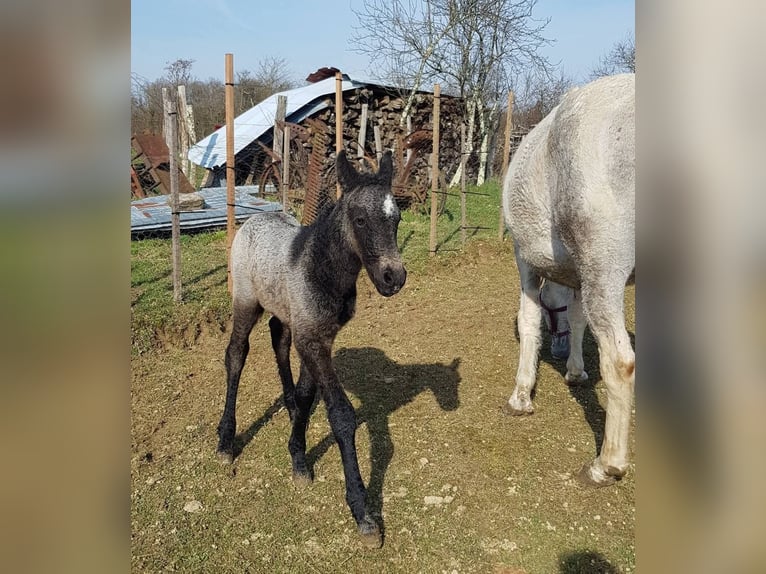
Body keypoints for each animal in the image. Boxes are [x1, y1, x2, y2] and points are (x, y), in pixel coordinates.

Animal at [217, 150, 406, 548]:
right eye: (360, 220)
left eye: (396, 218)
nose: (393, 278)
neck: (322, 268)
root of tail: (254, 217)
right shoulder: (313, 342)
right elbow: (342, 414)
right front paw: (363, 513)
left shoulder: (318, 337)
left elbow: (307, 395)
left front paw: (298, 457)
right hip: (245, 301)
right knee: (236, 354)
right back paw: (225, 441)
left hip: (284, 313)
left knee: (278, 338)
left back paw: (287, 407)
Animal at [502, 73, 635, 486]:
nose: (559, 353)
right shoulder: (578, 276)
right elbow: (578, 320)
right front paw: (575, 370)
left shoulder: (525, 260)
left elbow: (528, 322)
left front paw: (521, 396)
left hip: (605, 264)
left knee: (621, 361)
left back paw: (606, 465)